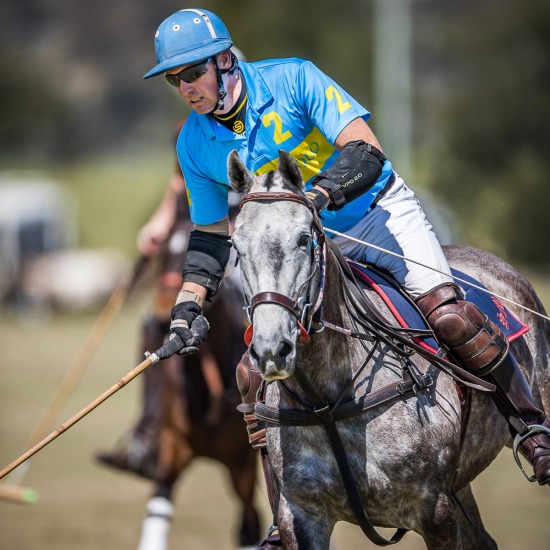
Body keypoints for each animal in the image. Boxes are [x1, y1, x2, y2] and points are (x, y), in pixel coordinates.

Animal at [227, 150, 550, 550]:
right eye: (236, 246)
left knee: (453, 316)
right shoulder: (300, 516)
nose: (272, 349)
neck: (326, 402)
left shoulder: (436, 509)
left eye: (303, 239)